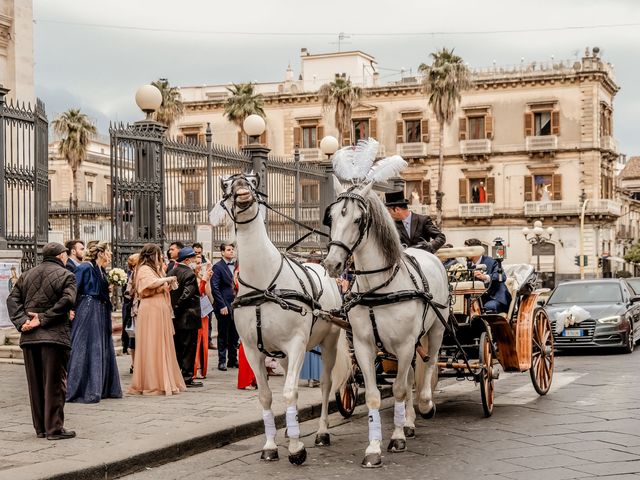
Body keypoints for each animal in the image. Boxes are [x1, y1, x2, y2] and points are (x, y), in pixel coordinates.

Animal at [216, 172, 352, 464]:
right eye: (226, 183)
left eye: (253, 180)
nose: (241, 184)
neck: (264, 284)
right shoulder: (252, 349)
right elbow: (266, 396)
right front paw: (271, 445)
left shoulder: (297, 342)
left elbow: (291, 391)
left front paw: (297, 449)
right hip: (286, 354)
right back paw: (293, 429)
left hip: (329, 342)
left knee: (326, 384)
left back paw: (321, 432)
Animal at [322, 181, 448, 468]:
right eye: (331, 217)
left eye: (358, 219)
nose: (332, 264)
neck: (378, 288)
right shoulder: (363, 346)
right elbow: (374, 396)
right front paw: (374, 448)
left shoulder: (405, 344)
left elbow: (399, 389)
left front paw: (397, 438)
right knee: (412, 375)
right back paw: (409, 421)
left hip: (435, 330)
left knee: (430, 363)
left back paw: (425, 405)